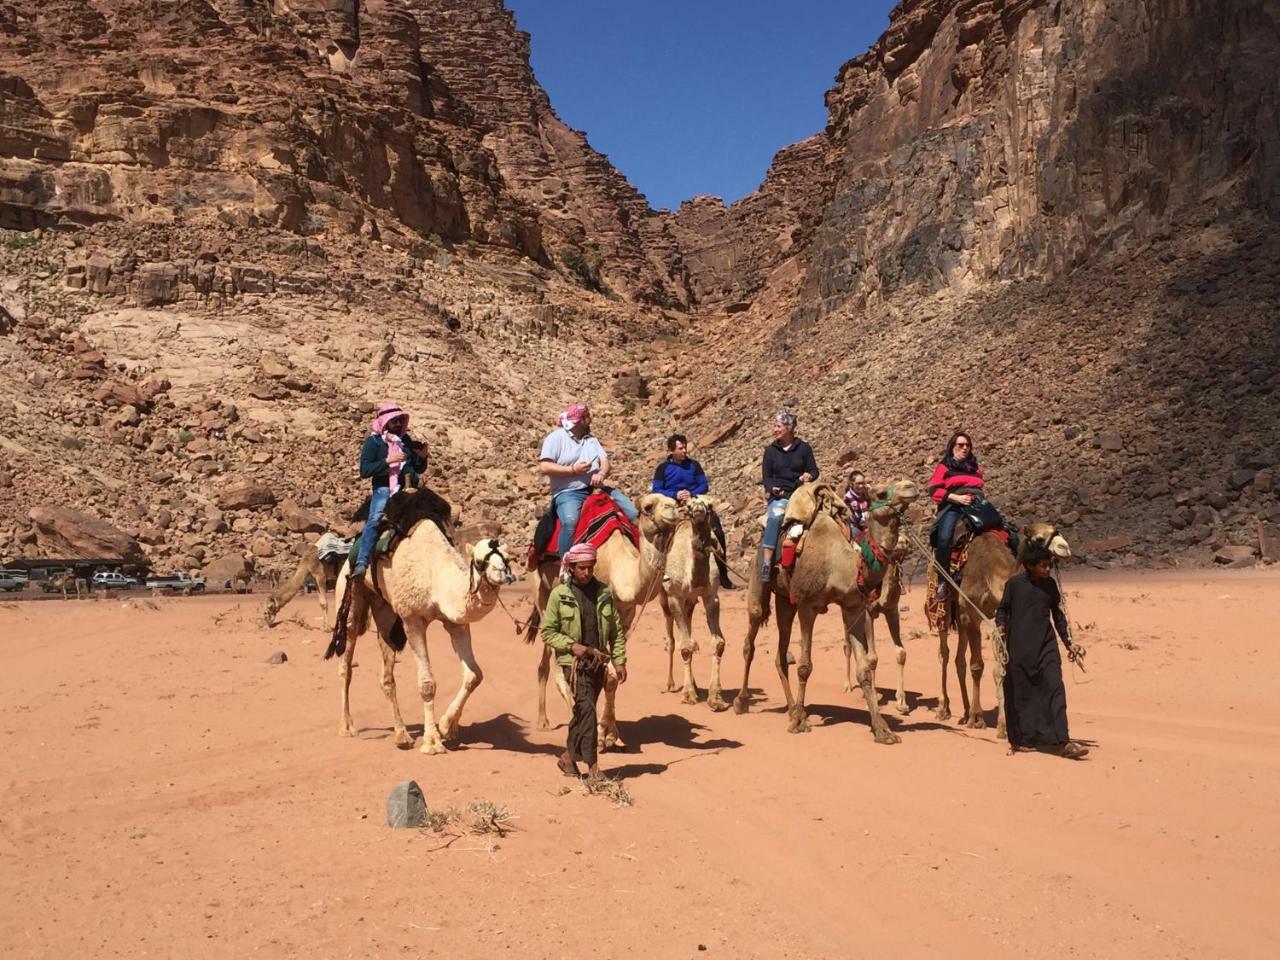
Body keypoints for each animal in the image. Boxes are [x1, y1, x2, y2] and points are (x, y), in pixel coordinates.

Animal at [327, 506, 517, 757]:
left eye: (508, 557)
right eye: (478, 561)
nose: (503, 573)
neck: (436, 574)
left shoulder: (455, 622)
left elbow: (474, 674)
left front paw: (447, 726)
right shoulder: (412, 619)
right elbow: (427, 683)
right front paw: (432, 742)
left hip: (386, 612)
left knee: (386, 675)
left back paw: (402, 735)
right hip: (350, 593)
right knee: (346, 664)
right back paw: (347, 727)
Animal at [522, 496, 686, 752]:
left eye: (673, 501)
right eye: (648, 507)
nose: (672, 510)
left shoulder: (625, 615)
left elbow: (612, 675)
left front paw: (611, 735)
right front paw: (600, 734)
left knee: (547, 662)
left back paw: (547, 719)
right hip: (540, 592)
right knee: (557, 664)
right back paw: (561, 720)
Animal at [660, 499, 732, 711]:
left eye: (710, 505)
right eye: (691, 506)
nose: (699, 508)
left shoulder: (711, 596)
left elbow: (718, 643)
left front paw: (716, 698)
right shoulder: (675, 596)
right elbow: (684, 647)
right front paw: (688, 695)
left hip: (690, 602)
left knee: (689, 632)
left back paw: (694, 684)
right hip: (664, 598)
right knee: (672, 639)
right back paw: (671, 684)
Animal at [732, 481, 921, 742]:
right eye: (880, 493)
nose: (910, 487)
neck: (839, 565)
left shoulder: (852, 607)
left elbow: (864, 669)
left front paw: (883, 730)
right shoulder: (807, 605)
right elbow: (805, 666)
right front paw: (799, 725)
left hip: (785, 600)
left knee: (780, 653)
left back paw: (793, 709)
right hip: (759, 578)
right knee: (750, 639)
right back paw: (742, 702)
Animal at [926, 522, 1075, 732]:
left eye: (1056, 530)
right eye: (1038, 538)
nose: (1065, 548)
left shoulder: (999, 614)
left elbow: (1001, 667)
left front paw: (1003, 726)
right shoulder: (972, 614)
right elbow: (977, 666)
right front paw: (977, 718)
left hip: (961, 613)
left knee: (958, 658)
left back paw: (965, 711)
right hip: (944, 606)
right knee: (944, 652)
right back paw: (945, 709)